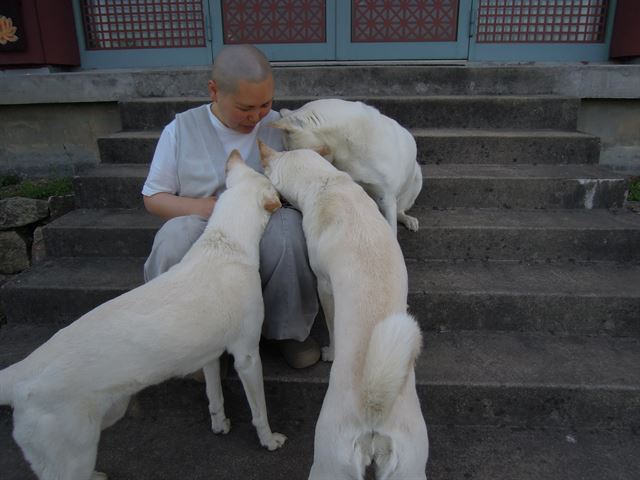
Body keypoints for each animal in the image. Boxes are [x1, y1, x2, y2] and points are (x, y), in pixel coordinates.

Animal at [0, 150, 284, 480]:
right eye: (273, 187)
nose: (286, 198)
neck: (227, 244)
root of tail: (22, 373)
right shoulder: (247, 356)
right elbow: (259, 411)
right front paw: (269, 441)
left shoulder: (209, 355)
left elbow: (214, 395)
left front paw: (220, 425)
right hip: (75, 452)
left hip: (103, 419)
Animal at [260, 142, 430, 480]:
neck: (326, 182)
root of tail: (373, 411)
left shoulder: (324, 284)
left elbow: (331, 323)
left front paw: (330, 352)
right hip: (411, 466)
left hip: (327, 462)